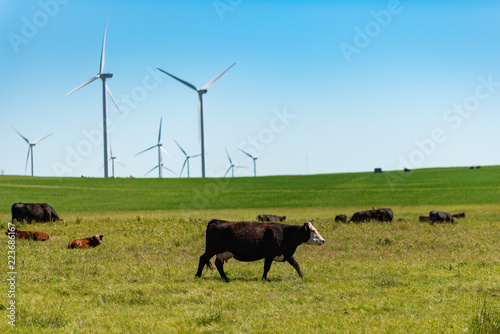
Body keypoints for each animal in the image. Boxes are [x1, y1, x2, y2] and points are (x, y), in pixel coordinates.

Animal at [195, 220, 324, 280]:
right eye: (313, 231)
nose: (323, 240)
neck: (284, 234)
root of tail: (216, 221)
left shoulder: (286, 254)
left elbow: (296, 265)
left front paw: (302, 276)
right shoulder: (270, 255)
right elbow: (267, 267)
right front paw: (264, 278)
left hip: (221, 253)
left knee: (218, 264)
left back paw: (225, 277)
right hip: (211, 250)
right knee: (202, 259)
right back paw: (197, 275)